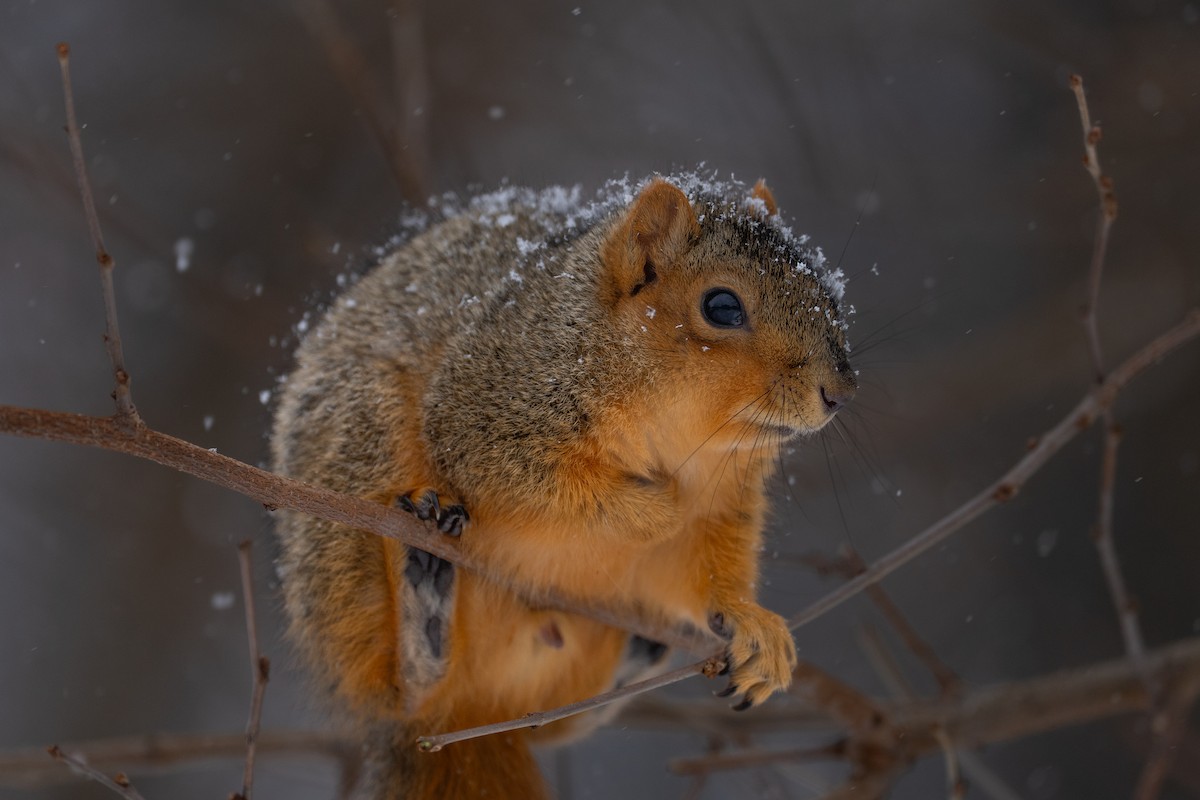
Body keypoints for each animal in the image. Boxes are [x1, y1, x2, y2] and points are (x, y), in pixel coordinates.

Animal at [270, 172, 857, 798]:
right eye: (722, 306)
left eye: (828, 295)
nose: (839, 392)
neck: (678, 433)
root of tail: (461, 722)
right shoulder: (488, 408)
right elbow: (529, 480)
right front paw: (660, 508)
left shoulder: (729, 502)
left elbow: (709, 567)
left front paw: (749, 623)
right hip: (358, 472)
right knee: (393, 691)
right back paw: (422, 622)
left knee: (551, 725)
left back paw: (629, 664)